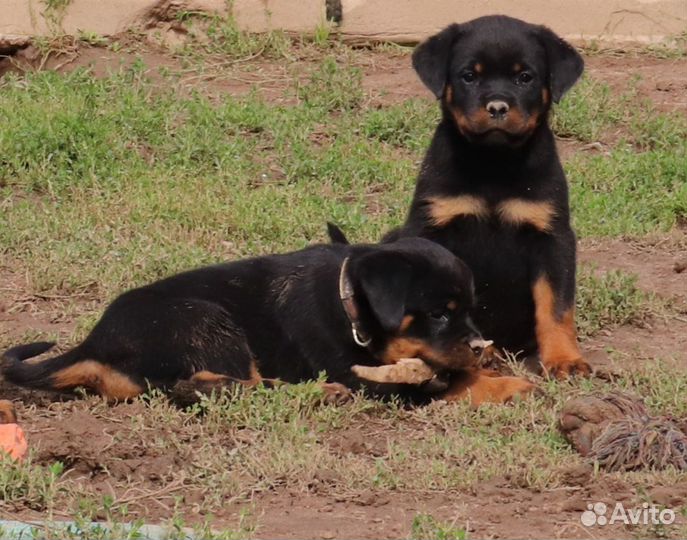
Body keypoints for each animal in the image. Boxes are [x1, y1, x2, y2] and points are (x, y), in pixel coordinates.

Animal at [2, 237, 536, 404]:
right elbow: (438, 383)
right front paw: (505, 385)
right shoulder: (359, 373)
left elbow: (454, 374)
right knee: (215, 385)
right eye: (438, 314)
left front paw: (507, 378)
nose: (481, 346)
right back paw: (322, 393)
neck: (350, 306)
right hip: (205, 320)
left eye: (470, 309)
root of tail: (94, 344)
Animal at [388, 14, 592, 378]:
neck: (493, 163)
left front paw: (564, 359)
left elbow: (556, 307)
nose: (497, 107)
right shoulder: (430, 225)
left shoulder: (553, 236)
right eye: (469, 76)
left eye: (525, 77)